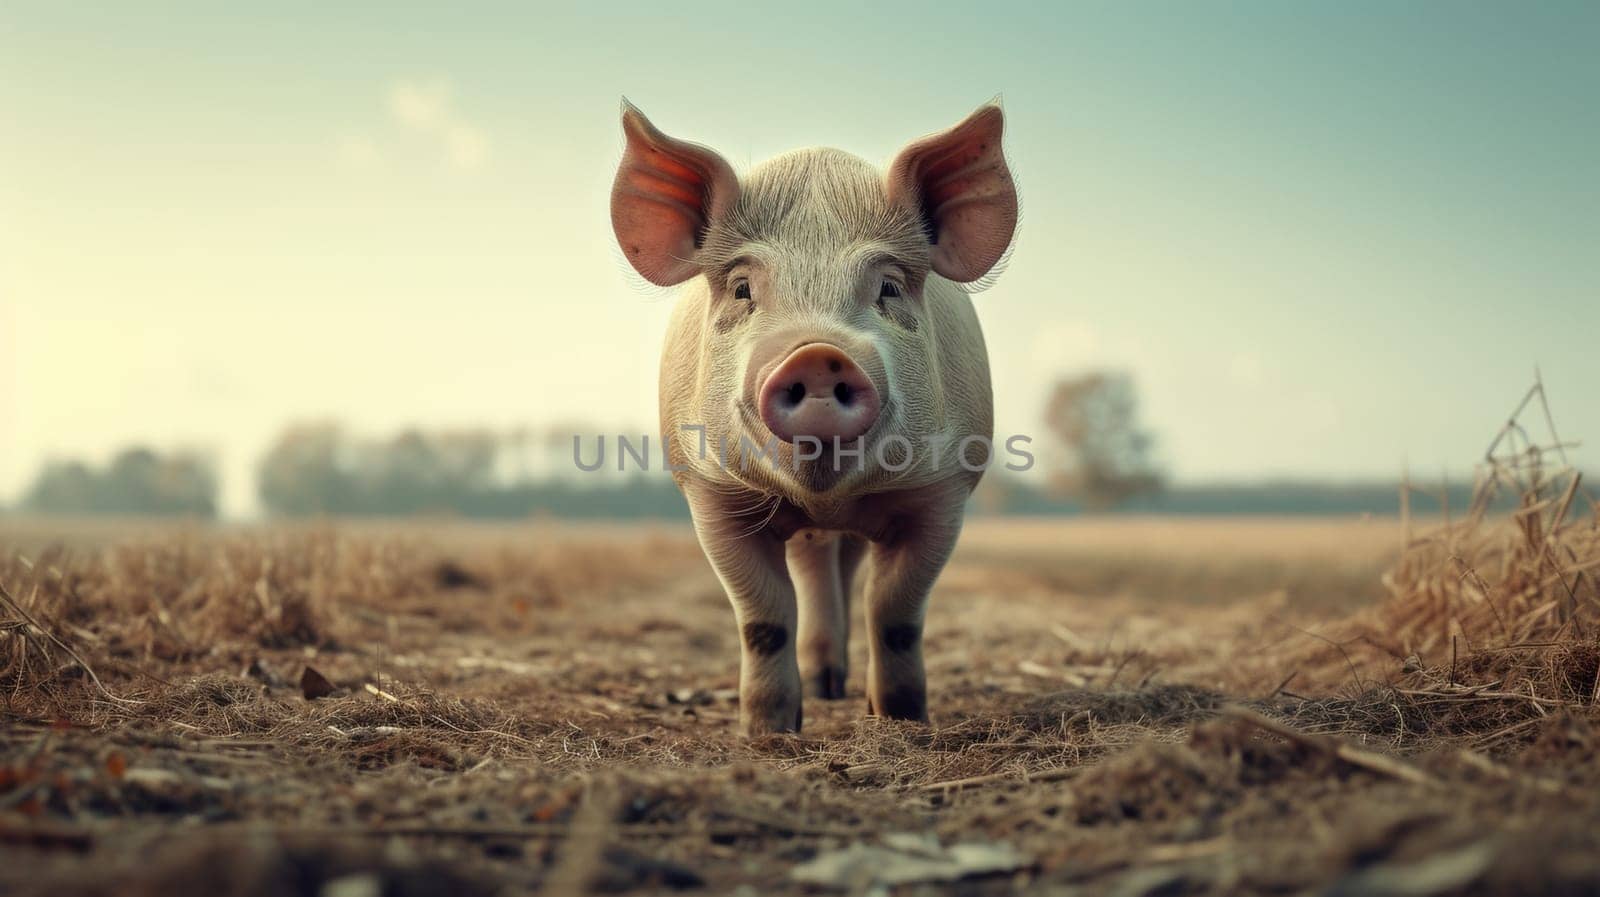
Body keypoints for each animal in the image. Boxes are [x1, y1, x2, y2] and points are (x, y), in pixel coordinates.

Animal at [604, 101, 1017, 732]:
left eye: (889, 287)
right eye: (742, 289)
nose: (818, 354)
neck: (829, 496)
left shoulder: (942, 492)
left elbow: (896, 614)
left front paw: (902, 722)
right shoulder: (712, 495)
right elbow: (763, 618)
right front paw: (768, 733)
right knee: (816, 571)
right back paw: (823, 689)